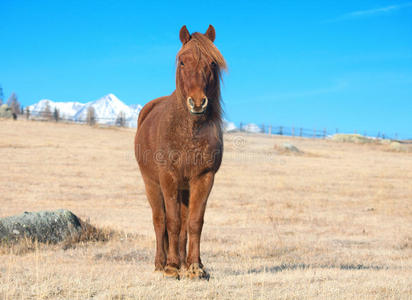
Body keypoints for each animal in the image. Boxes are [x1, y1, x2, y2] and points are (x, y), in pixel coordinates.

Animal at [134, 24, 225, 280]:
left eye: (212, 62)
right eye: (183, 62)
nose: (198, 102)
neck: (188, 131)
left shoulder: (203, 178)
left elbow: (194, 222)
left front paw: (195, 267)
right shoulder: (168, 178)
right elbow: (172, 222)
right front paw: (172, 266)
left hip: (185, 188)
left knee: (184, 224)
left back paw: (185, 264)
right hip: (151, 183)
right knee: (159, 221)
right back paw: (160, 263)